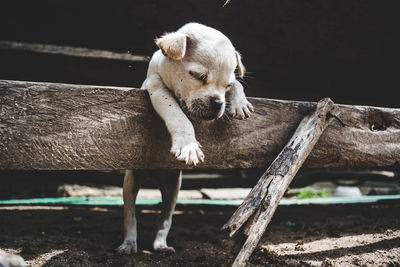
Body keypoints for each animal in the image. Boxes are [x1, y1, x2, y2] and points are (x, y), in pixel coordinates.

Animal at [116, 23, 253, 255]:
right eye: (199, 76)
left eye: (226, 86)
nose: (218, 103)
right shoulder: (156, 88)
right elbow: (178, 115)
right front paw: (188, 146)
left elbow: (239, 84)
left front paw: (239, 103)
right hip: (131, 181)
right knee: (130, 215)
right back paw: (129, 244)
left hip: (173, 187)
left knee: (165, 219)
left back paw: (161, 245)